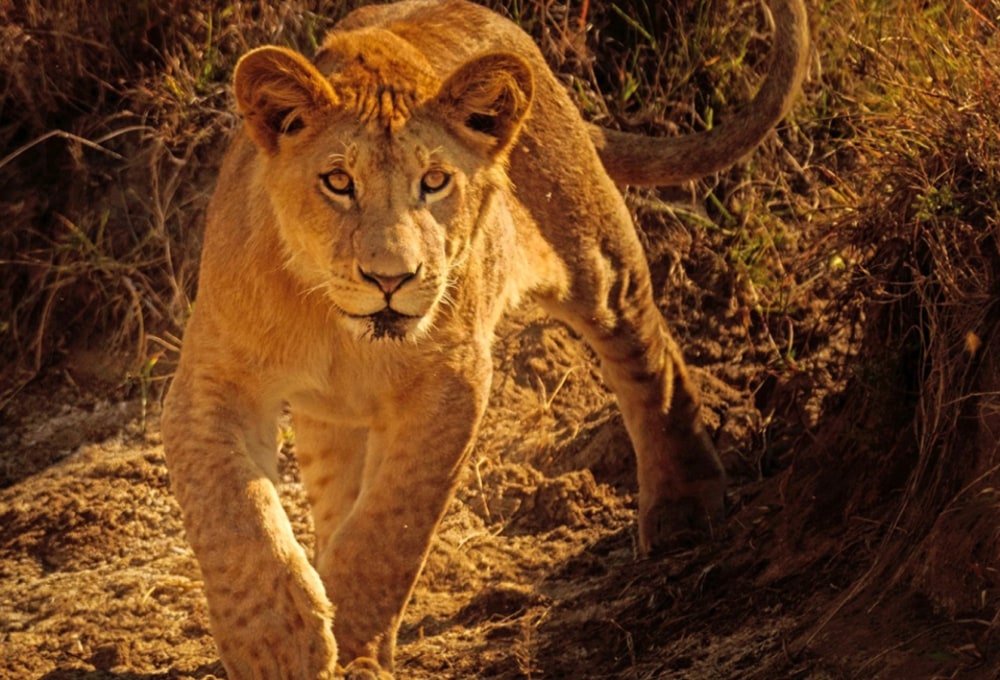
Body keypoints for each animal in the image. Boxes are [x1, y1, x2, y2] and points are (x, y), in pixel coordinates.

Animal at [160, 0, 809, 677]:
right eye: (337, 182)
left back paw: (684, 504)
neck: (338, 327)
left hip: (594, 255)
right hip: (329, 418)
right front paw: (279, 644)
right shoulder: (211, 383)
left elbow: (389, 527)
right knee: (334, 492)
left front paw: (354, 645)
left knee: (649, 356)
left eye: (435, 181)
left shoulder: (453, 380)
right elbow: (236, 518)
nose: (391, 278)